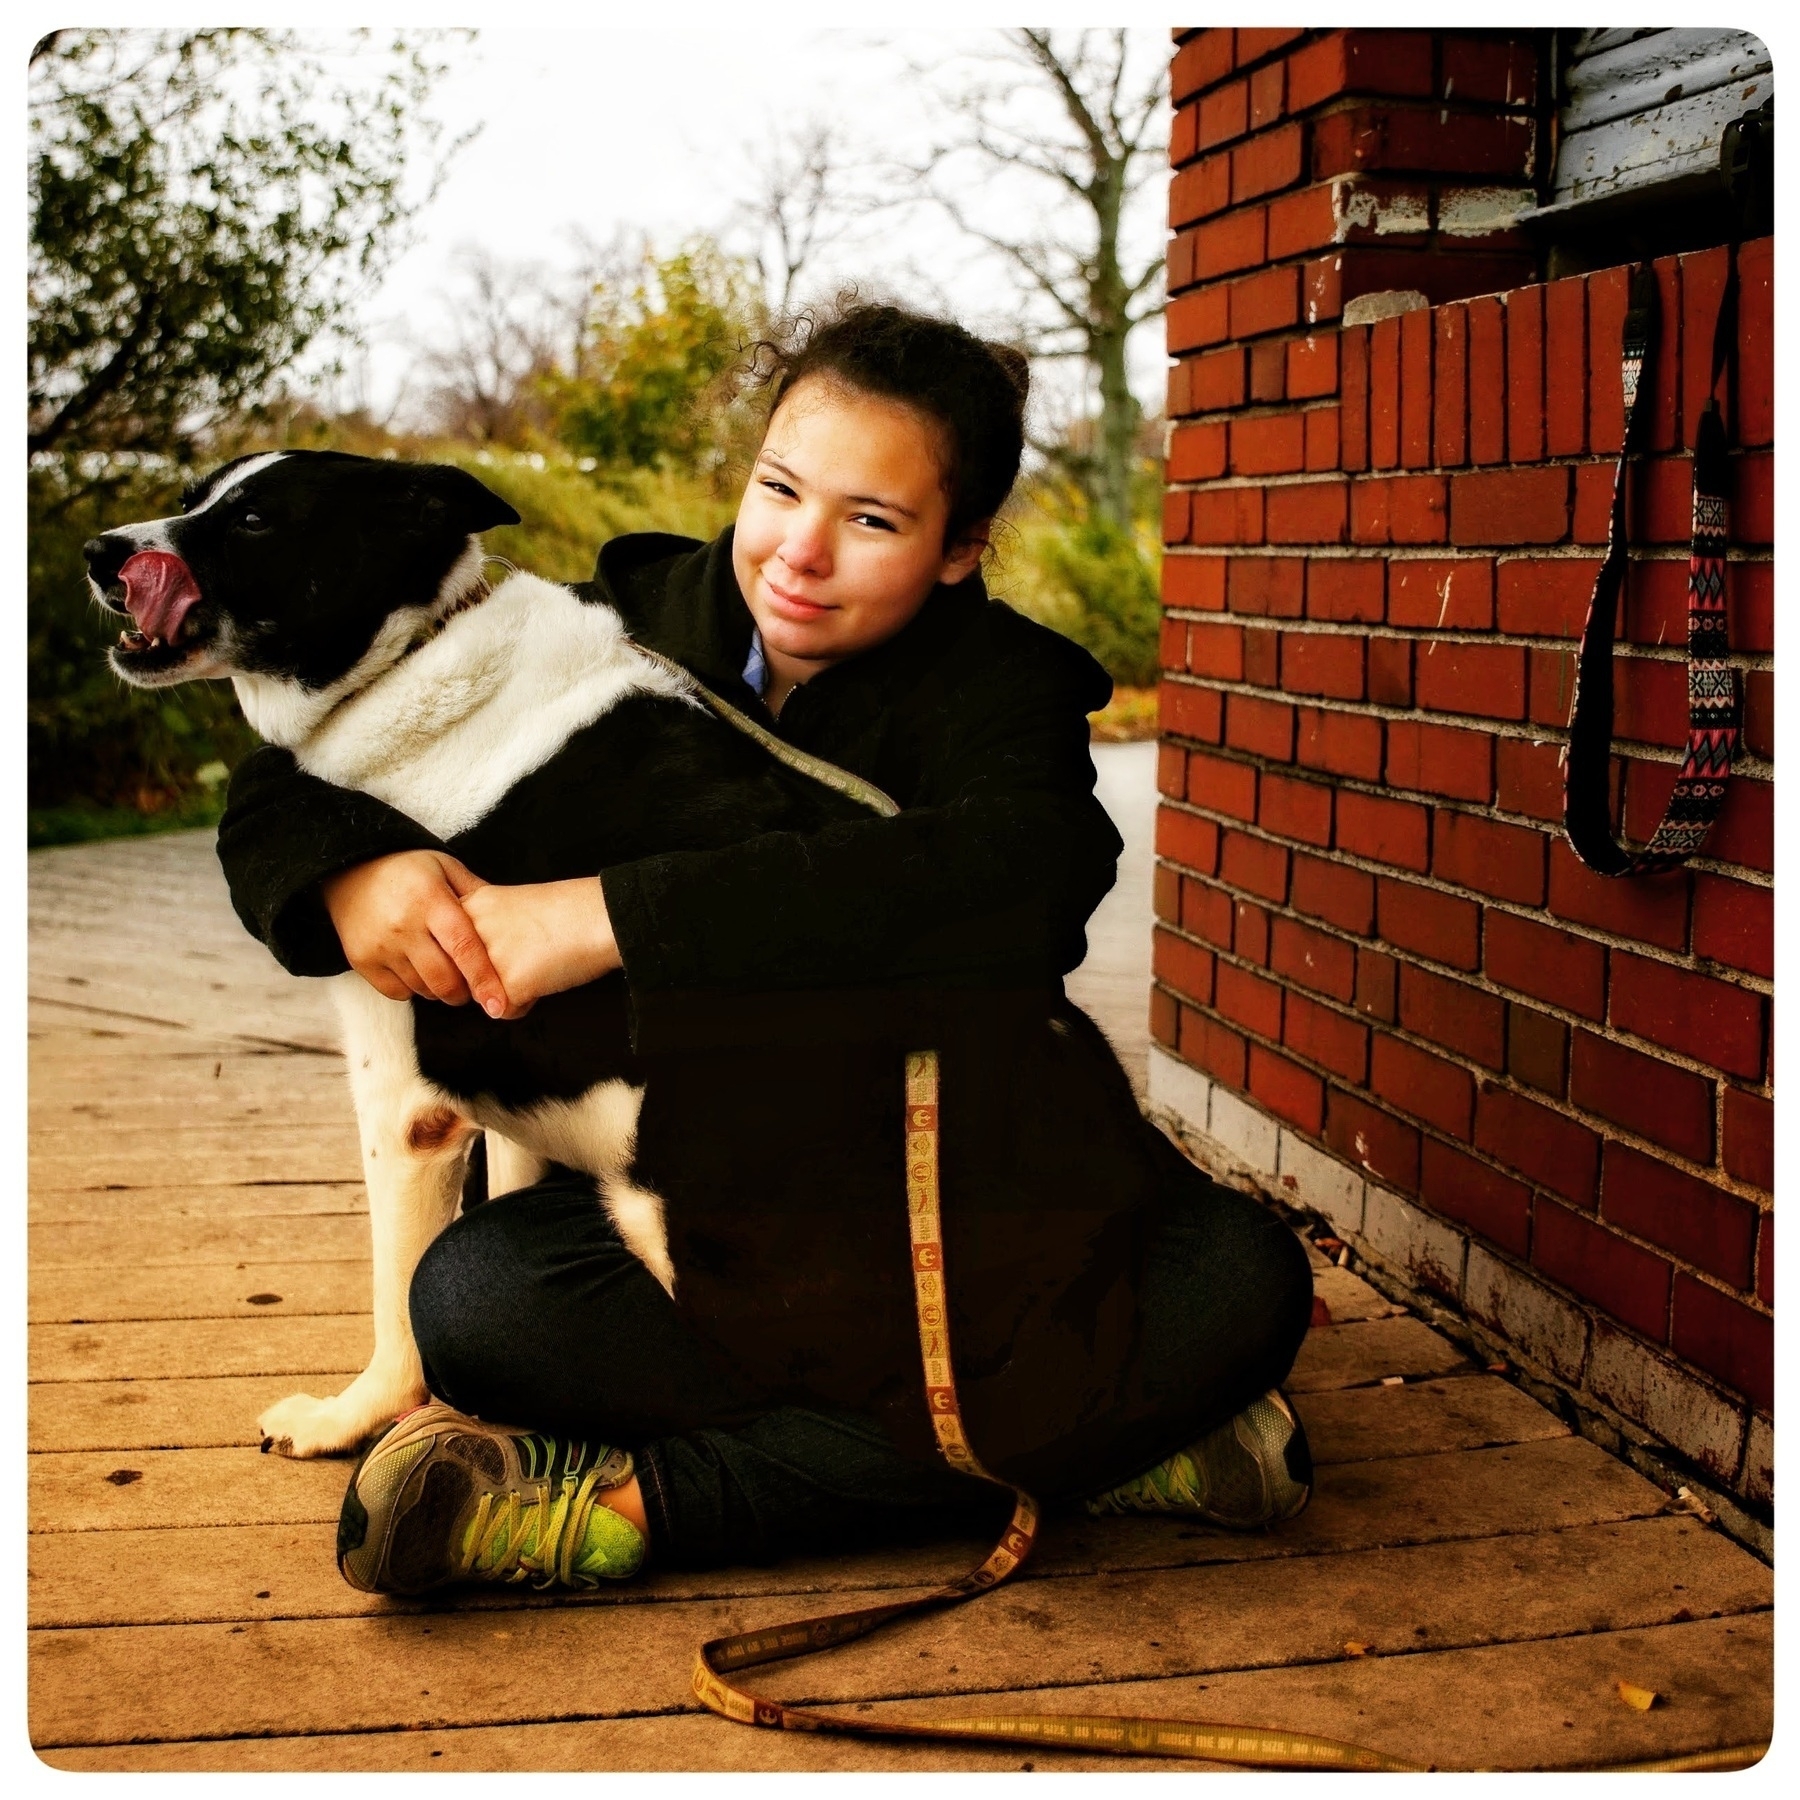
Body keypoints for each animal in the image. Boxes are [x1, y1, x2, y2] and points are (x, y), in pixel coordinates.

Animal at [87, 450, 867, 1461]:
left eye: (255, 518)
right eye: (193, 497)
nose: (101, 553)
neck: (406, 661)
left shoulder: (405, 1099)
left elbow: (401, 1302)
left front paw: (353, 1419)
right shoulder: (509, 1095)